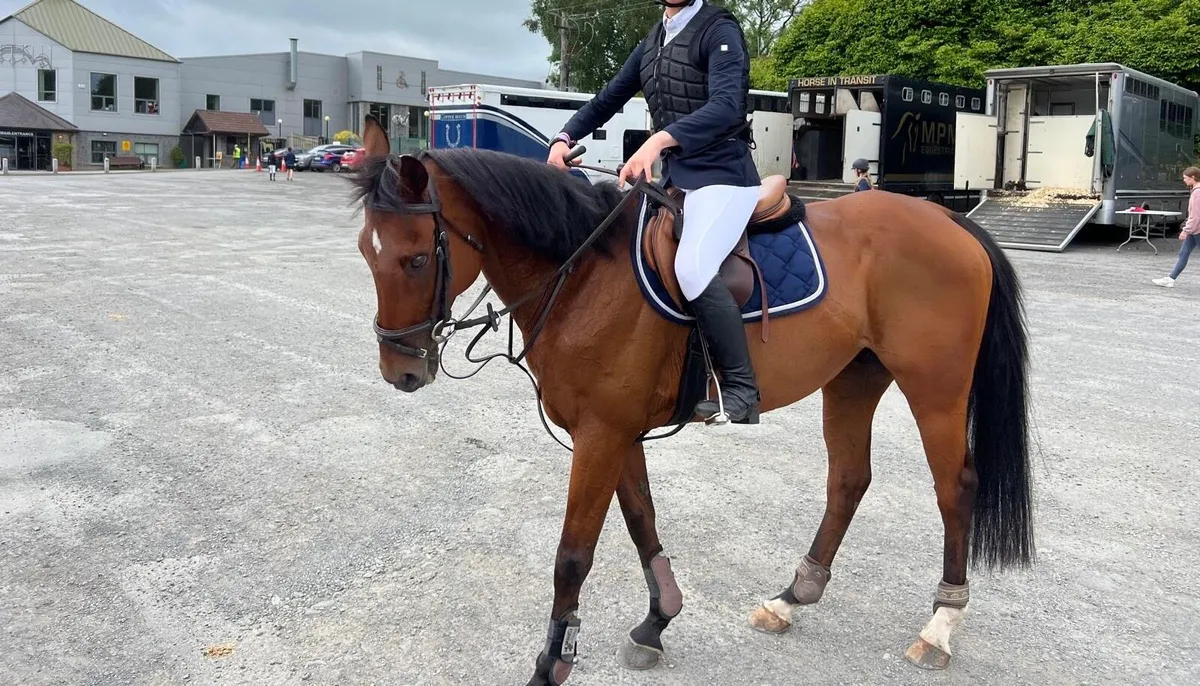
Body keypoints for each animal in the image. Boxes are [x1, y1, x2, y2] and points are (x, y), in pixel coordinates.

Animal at [349, 115, 1034, 685]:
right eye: (365, 252)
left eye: (415, 258)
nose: (399, 370)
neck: (582, 275)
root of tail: (949, 221)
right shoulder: (614, 431)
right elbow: (641, 521)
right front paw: (657, 622)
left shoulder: (601, 434)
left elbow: (573, 555)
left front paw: (553, 662)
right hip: (854, 379)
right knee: (848, 480)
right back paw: (791, 598)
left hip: (936, 390)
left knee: (954, 489)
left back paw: (939, 626)